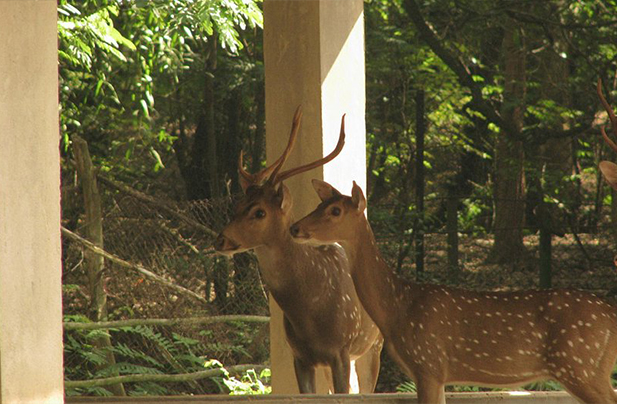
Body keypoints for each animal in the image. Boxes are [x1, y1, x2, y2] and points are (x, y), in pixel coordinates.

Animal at [214, 109, 382, 392]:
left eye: (259, 212)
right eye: (238, 205)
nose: (221, 240)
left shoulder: (341, 350)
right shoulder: (300, 356)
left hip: (374, 344)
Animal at [292, 180, 616, 404]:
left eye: (335, 210)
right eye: (319, 205)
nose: (294, 227)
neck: (398, 306)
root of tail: (610, 314)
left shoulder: (428, 363)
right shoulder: (436, 373)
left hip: (579, 363)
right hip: (591, 367)